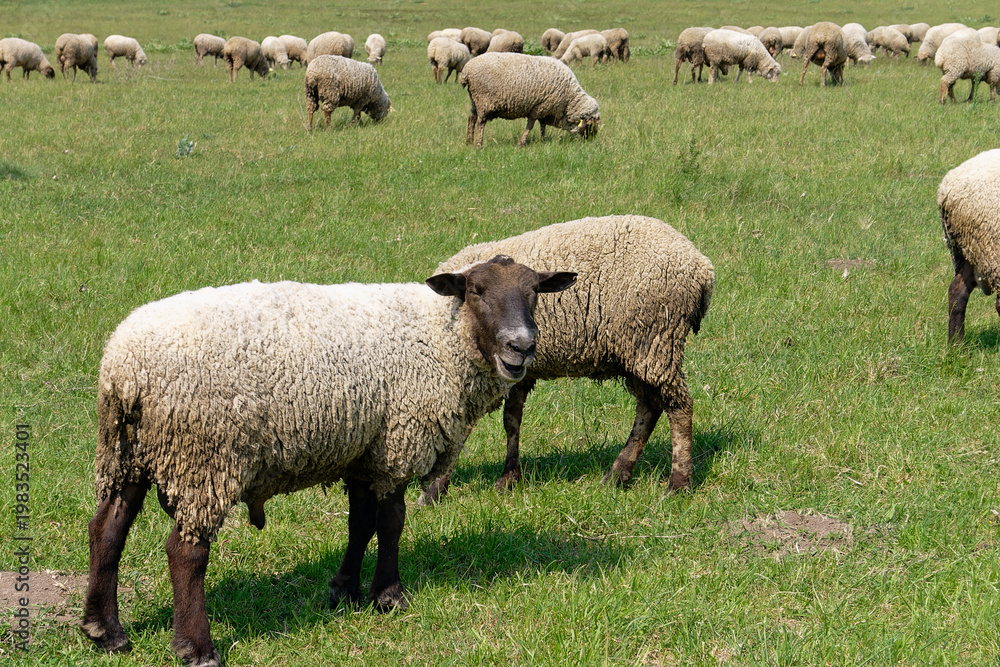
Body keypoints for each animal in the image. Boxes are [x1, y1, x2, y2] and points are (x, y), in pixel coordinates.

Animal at [78, 257, 577, 667]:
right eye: (476, 290)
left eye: (535, 291)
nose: (521, 347)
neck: (440, 333)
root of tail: (124, 366)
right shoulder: (398, 440)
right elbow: (391, 522)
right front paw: (389, 596)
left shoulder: (364, 449)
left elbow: (361, 523)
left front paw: (345, 590)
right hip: (203, 457)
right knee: (185, 553)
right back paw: (197, 649)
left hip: (130, 452)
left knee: (107, 530)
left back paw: (106, 632)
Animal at [420, 215, 715, 504]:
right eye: (475, 291)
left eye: (534, 292)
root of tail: (702, 266)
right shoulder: (514, 372)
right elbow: (512, 420)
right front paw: (509, 478)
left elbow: (466, 427)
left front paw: (434, 490)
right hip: (637, 350)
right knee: (650, 407)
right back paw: (617, 475)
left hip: (657, 340)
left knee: (679, 406)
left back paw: (678, 485)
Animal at [461, 52, 600, 148]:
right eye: (590, 124)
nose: (591, 140)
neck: (569, 101)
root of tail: (466, 70)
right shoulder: (539, 107)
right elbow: (531, 125)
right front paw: (521, 143)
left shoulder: (545, 109)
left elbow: (542, 125)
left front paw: (544, 140)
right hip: (484, 99)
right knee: (481, 122)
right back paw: (478, 145)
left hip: (475, 100)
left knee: (471, 119)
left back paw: (469, 142)